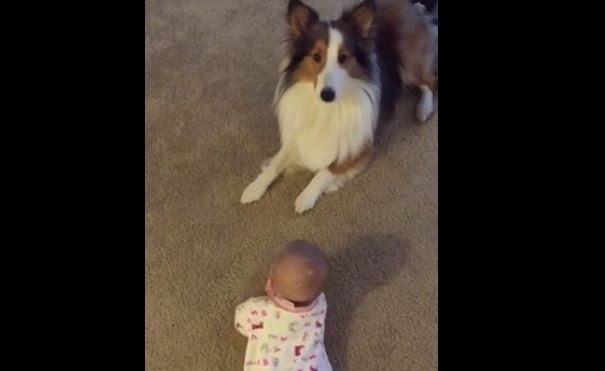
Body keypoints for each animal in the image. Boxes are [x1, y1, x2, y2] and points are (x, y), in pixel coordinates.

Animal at [239, 0, 434, 214]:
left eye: (343, 58)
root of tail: (407, 3)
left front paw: (306, 197)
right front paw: (254, 187)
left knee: (430, 81)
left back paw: (424, 108)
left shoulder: (359, 144)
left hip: (409, 65)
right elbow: (276, 162)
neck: (327, 108)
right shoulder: (299, 135)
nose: (327, 95)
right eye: (317, 56)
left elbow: (326, 170)